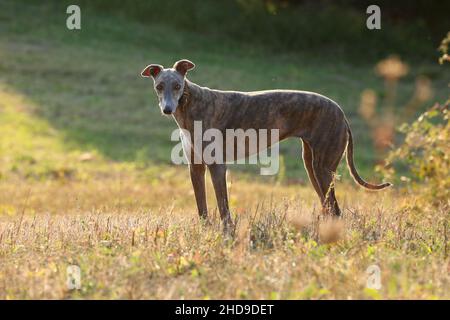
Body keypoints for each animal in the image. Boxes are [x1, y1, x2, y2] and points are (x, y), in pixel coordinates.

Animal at [141, 59, 390, 232]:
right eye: (159, 86)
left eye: (177, 85)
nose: (167, 109)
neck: (191, 105)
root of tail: (342, 114)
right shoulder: (195, 167)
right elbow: (202, 207)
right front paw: (205, 231)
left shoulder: (218, 167)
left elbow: (223, 207)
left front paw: (227, 233)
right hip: (312, 165)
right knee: (328, 207)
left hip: (323, 168)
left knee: (335, 210)